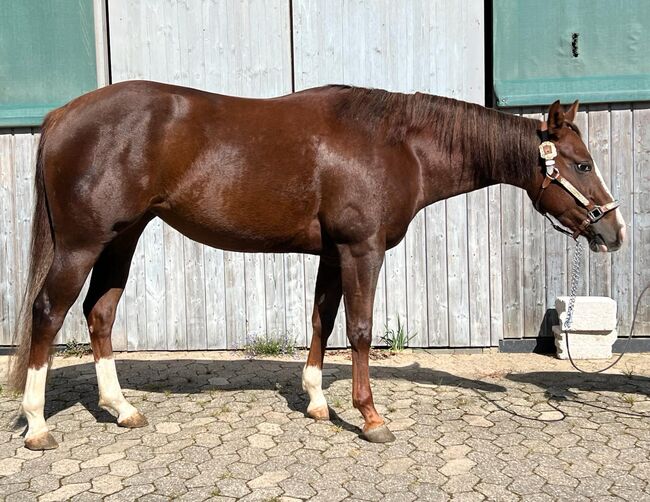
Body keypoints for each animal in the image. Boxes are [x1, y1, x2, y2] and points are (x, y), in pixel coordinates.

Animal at [6, 80, 624, 450]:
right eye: (581, 163)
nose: (612, 233)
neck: (396, 144)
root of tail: (62, 115)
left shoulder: (333, 252)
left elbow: (321, 321)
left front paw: (318, 402)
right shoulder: (361, 249)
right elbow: (359, 328)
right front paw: (369, 417)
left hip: (122, 238)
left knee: (99, 313)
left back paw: (121, 408)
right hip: (82, 243)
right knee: (49, 312)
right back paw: (37, 425)